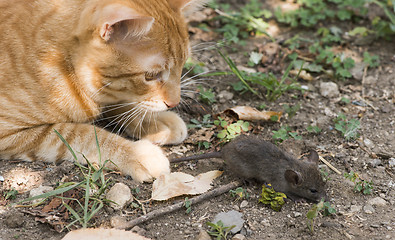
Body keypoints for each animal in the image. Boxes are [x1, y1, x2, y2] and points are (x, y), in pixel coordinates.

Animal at [0, 0, 204, 182]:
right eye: (151, 75)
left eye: (182, 65)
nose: (175, 102)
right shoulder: (10, 132)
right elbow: (84, 134)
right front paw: (137, 154)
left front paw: (152, 121)